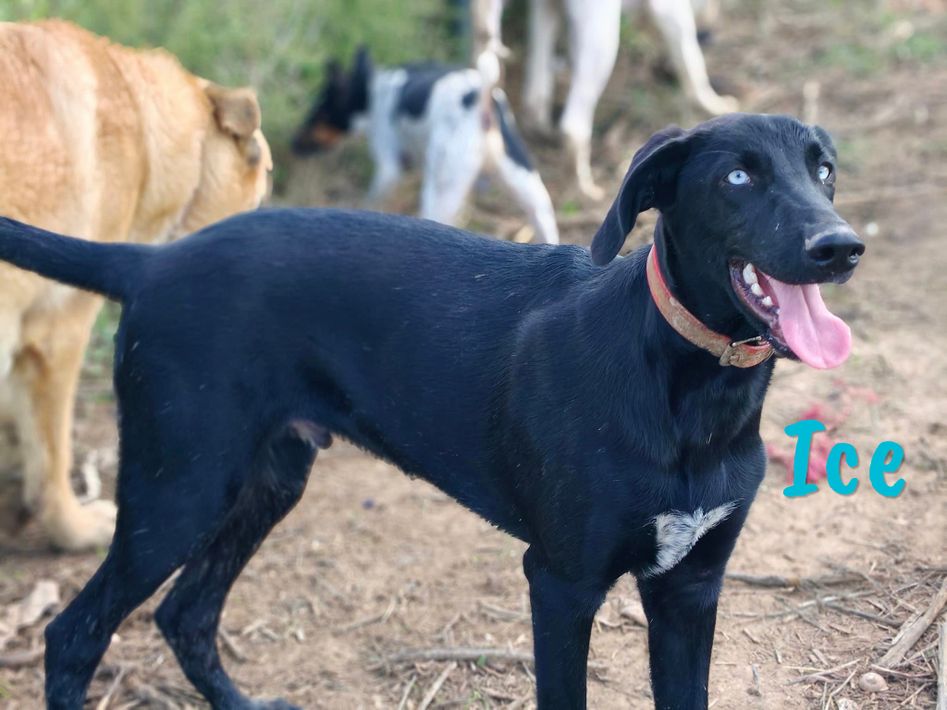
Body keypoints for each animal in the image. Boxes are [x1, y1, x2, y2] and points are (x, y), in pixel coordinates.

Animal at [0, 113, 864, 708]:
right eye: (737, 179)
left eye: (822, 170)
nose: (840, 247)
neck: (691, 393)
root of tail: (151, 263)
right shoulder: (561, 582)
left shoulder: (691, 587)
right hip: (177, 488)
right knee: (74, 634)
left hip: (265, 482)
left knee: (185, 613)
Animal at [291, 47, 560, 245]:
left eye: (318, 114)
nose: (293, 144)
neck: (372, 90)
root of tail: (480, 100)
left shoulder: (387, 165)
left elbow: (372, 200)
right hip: (530, 191)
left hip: (439, 192)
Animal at [477, 0, 738, 199]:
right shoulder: (669, 9)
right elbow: (690, 58)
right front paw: (710, 103)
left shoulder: (545, 10)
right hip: (602, 34)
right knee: (573, 126)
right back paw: (586, 189)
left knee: (536, 94)